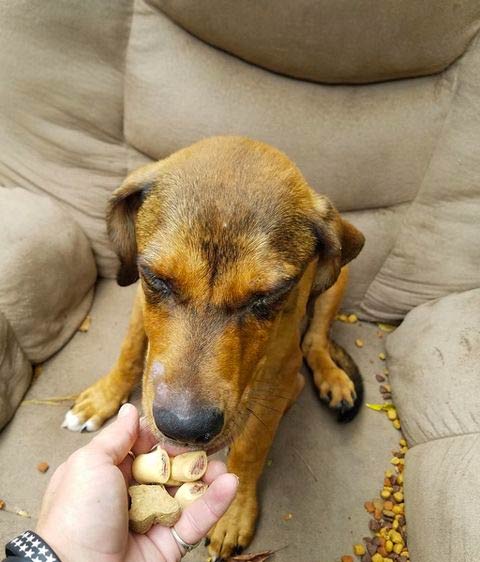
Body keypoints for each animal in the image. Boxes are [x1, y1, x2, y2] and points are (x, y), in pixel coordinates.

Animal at [62, 137, 364, 560]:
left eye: (266, 296)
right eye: (157, 278)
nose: (183, 429)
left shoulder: (276, 370)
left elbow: (251, 445)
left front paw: (234, 513)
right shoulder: (140, 299)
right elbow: (130, 349)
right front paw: (103, 398)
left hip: (338, 283)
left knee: (314, 342)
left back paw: (328, 378)